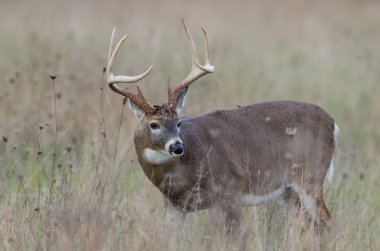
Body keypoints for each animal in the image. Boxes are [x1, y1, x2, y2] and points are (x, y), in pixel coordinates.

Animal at [106, 20, 338, 234]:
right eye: (154, 124)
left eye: (178, 122)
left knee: (328, 221)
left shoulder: (231, 190)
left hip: (311, 176)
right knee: (310, 225)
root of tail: (332, 124)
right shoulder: (174, 206)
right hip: (288, 192)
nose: (177, 147)